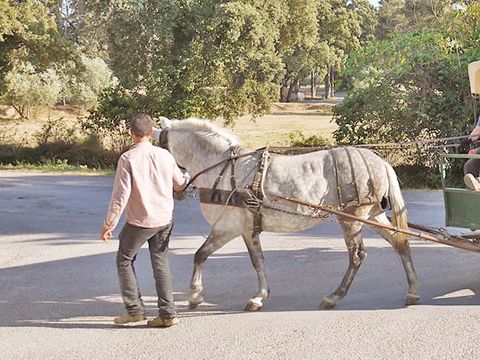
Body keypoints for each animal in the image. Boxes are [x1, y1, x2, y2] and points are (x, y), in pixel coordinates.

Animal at [155, 119, 420, 310]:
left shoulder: (227, 228)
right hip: (372, 215)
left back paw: (334, 296)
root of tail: (379, 161)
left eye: (160, 149)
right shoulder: (247, 229)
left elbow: (200, 254)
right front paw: (259, 296)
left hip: (351, 217)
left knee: (357, 255)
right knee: (400, 242)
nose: (177, 190)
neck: (222, 167)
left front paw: (195, 294)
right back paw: (412, 290)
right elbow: (257, 260)